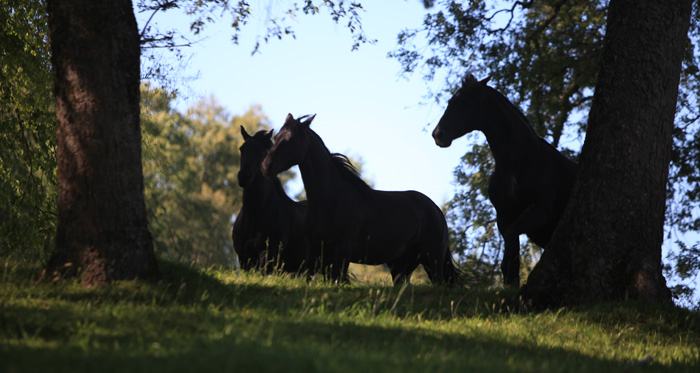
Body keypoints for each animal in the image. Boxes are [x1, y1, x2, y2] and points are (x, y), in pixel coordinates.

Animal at [232, 126, 308, 274]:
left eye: (263, 151)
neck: (254, 215)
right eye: (242, 148)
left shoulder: (266, 256)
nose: (244, 177)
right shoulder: (243, 258)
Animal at [260, 113, 462, 284]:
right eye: (276, 138)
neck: (330, 200)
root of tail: (436, 210)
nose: (266, 166)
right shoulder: (316, 251)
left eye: (291, 140)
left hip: (432, 261)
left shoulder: (342, 252)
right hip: (401, 265)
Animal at [434, 73, 576, 288]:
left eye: (463, 102)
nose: (437, 134)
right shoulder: (504, 216)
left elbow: (510, 247)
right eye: (451, 101)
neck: (517, 166)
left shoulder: (540, 210)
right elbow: (511, 253)